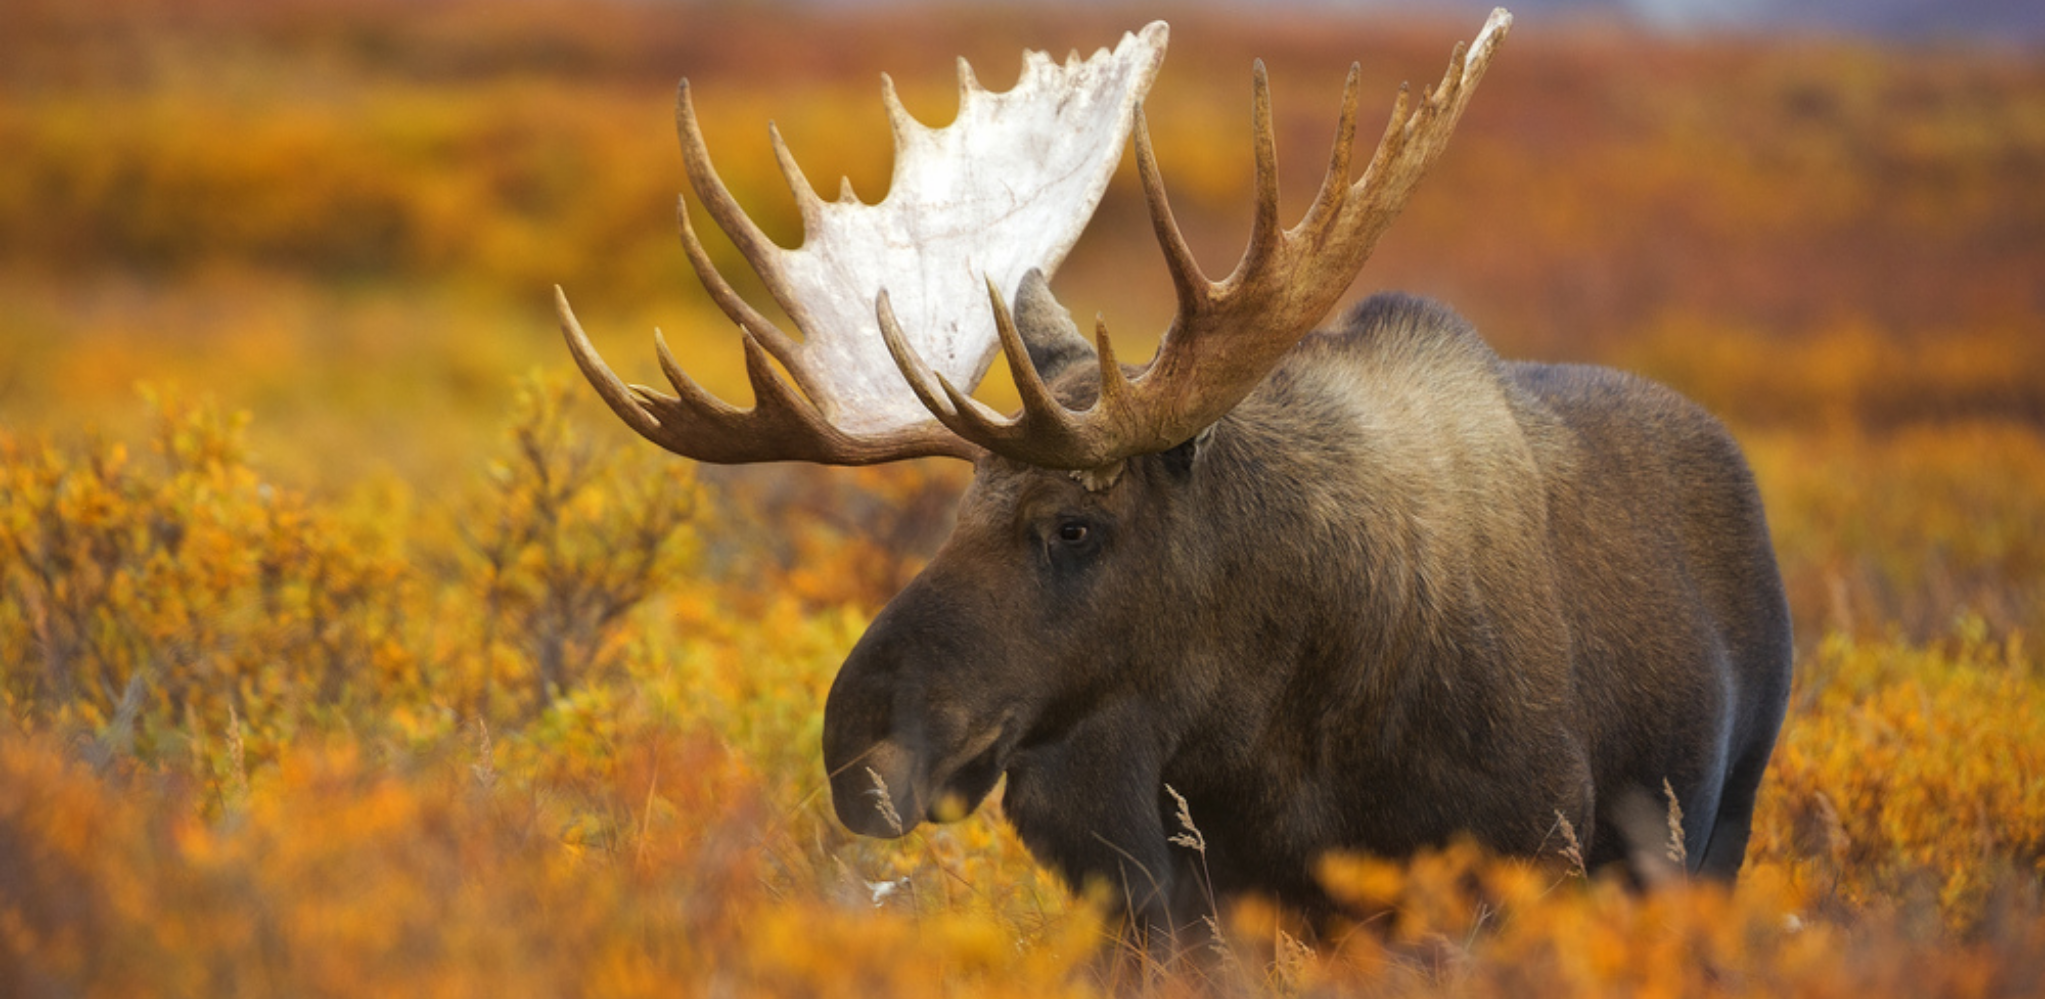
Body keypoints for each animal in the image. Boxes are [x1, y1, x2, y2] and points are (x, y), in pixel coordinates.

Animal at [554, 8, 1793, 936]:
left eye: (1073, 527)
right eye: (954, 511)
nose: (857, 747)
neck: (1279, 736)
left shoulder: (1519, 862)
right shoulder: (1169, 901)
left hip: (1715, 829)